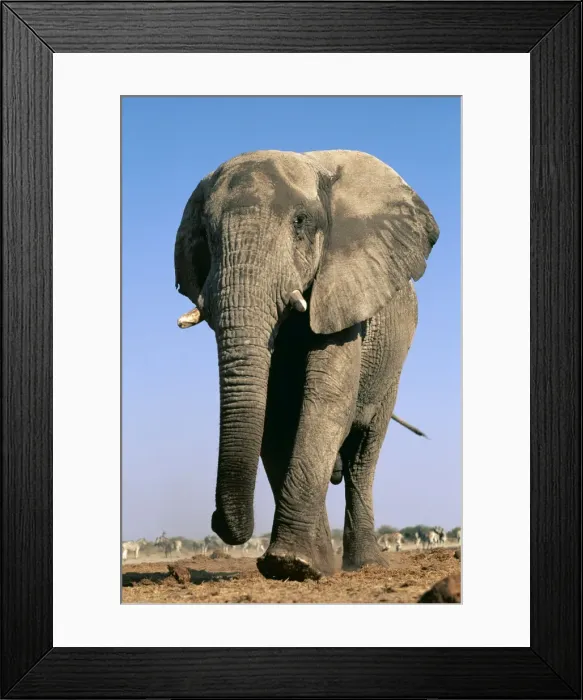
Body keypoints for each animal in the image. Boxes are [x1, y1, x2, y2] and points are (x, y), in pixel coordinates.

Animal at [174, 149, 439, 581]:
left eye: (300, 222)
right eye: (207, 237)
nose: (215, 520)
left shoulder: (344, 292)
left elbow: (328, 401)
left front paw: (291, 563)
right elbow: (276, 416)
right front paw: (302, 566)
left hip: (392, 366)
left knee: (363, 455)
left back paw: (365, 564)